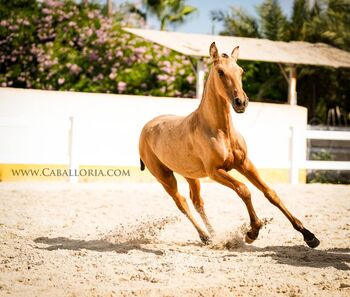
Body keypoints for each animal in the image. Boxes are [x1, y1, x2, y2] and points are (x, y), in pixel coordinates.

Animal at [139, 41, 320, 247]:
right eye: (220, 72)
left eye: (241, 71)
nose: (241, 102)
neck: (220, 131)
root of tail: (147, 127)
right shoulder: (215, 171)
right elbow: (244, 190)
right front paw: (253, 231)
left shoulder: (244, 163)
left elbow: (270, 193)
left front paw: (308, 235)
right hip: (165, 177)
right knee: (182, 203)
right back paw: (206, 236)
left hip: (190, 175)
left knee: (197, 201)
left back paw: (213, 236)